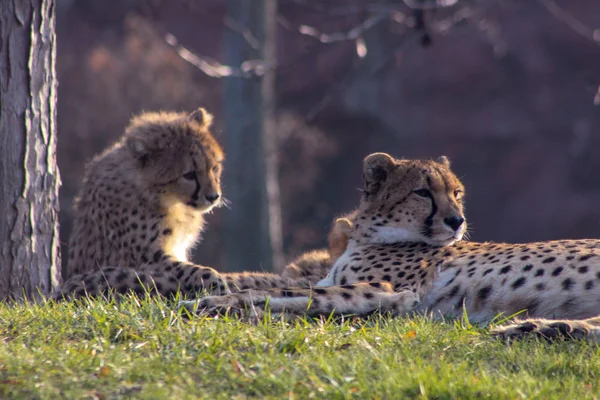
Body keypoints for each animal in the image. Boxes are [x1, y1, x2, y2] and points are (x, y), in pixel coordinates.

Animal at [58, 108, 310, 298]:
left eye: (214, 167)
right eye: (189, 174)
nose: (214, 196)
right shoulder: (148, 258)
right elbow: (196, 271)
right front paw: (219, 285)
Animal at [186, 152, 600, 342]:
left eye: (456, 193)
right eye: (423, 192)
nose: (457, 221)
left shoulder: (388, 290)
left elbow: (285, 293)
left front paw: (212, 303)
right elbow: (292, 294)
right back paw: (540, 328)